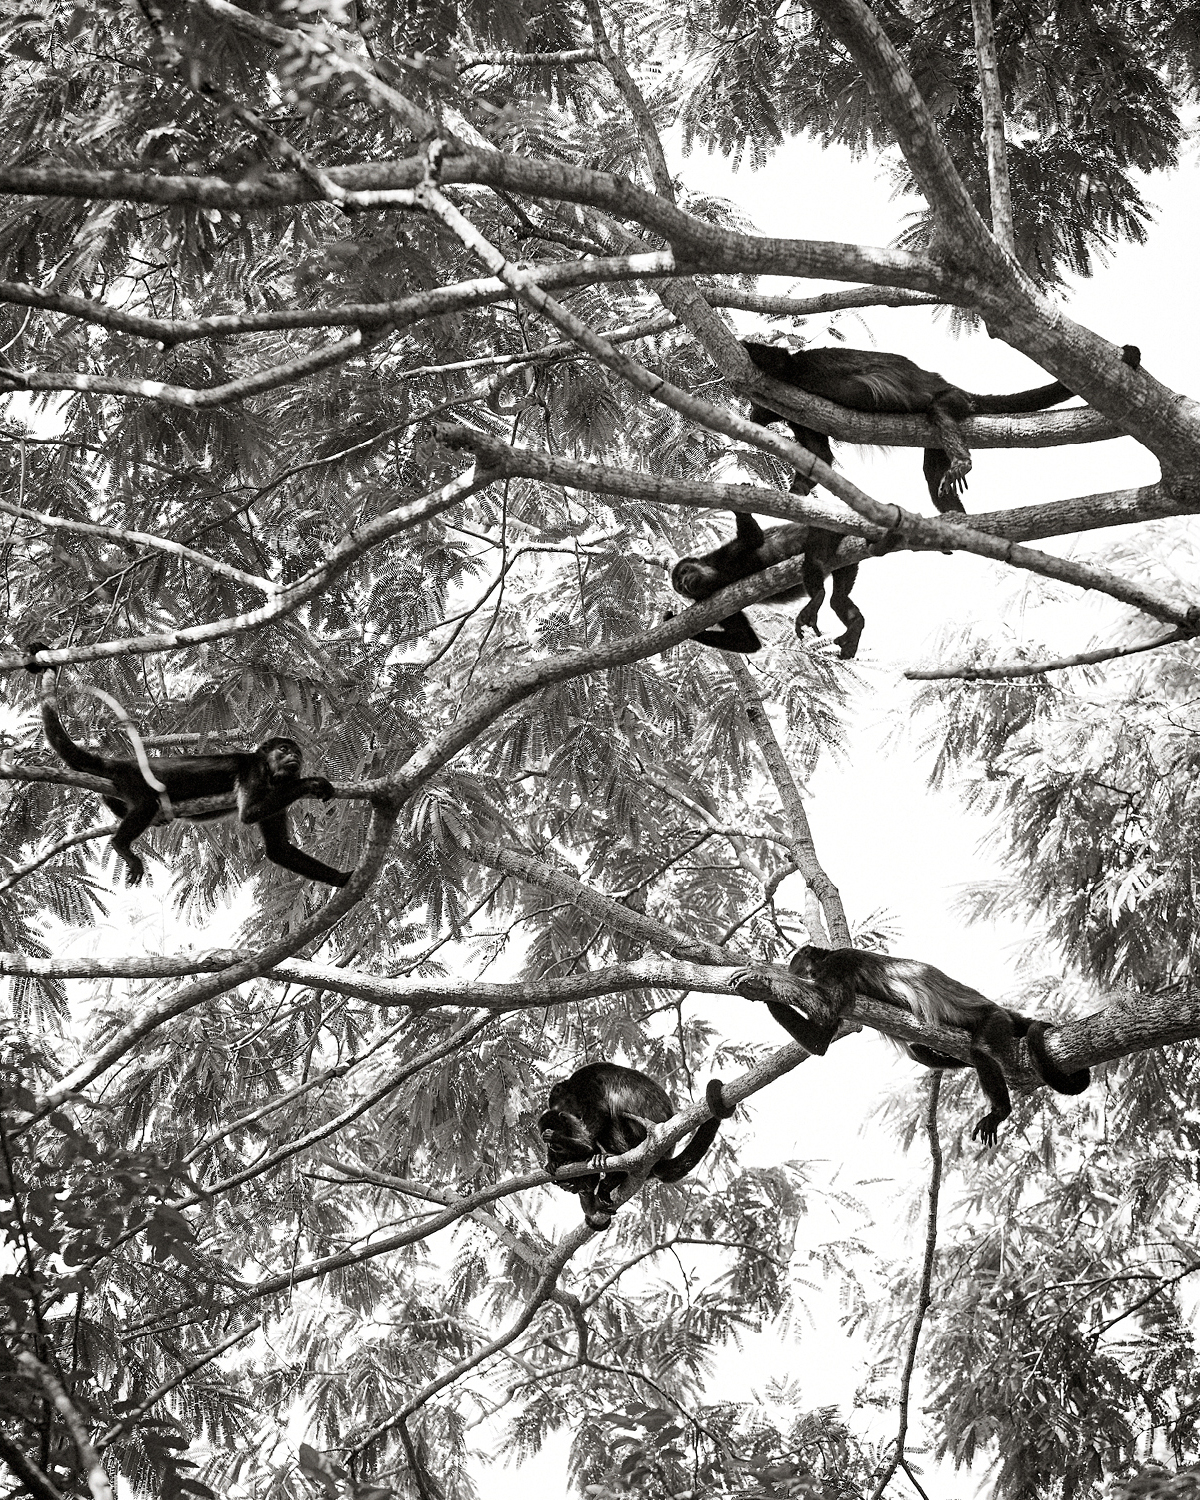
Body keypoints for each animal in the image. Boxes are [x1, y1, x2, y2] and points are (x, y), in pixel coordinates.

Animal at [23, 639, 351, 882]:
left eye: (297, 753)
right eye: (284, 749)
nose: (294, 757)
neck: (271, 774)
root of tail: (121, 763)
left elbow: (279, 850)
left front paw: (345, 879)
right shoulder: (252, 770)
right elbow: (249, 812)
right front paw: (313, 783)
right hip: (132, 779)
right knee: (145, 803)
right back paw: (122, 845)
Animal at [540, 1062, 732, 1224]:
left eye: (556, 1108)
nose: (564, 1115)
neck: (573, 1088)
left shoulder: (586, 1083)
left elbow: (600, 1114)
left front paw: (578, 1152)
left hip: (635, 1136)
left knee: (613, 1117)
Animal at [666, 510, 864, 657]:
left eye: (684, 571)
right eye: (680, 587)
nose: (684, 582)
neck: (713, 577)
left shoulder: (720, 556)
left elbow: (753, 539)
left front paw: (740, 508)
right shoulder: (709, 603)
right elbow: (747, 640)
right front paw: (669, 619)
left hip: (828, 532)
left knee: (813, 557)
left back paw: (816, 598)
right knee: (837, 597)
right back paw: (855, 624)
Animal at [741, 340, 1146, 510]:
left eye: (753, 404)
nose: (751, 414)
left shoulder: (795, 372)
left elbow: (772, 357)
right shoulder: (801, 415)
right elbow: (821, 456)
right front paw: (797, 489)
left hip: (951, 399)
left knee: (940, 410)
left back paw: (960, 462)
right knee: (931, 469)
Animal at [780, 948, 1092, 1146]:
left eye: (795, 963)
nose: (793, 971)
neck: (825, 957)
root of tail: (1000, 1008)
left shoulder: (838, 963)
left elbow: (829, 1011)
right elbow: (820, 1041)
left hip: (994, 1019)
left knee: (980, 1051)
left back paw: (1000, 1111)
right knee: (922, 1052)